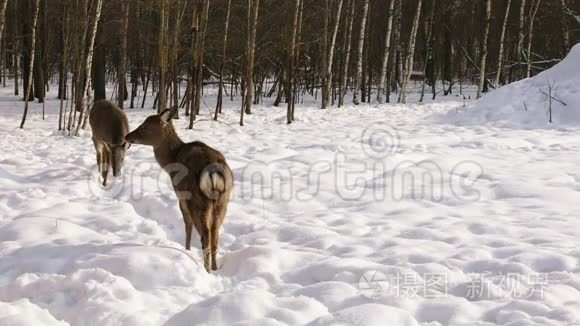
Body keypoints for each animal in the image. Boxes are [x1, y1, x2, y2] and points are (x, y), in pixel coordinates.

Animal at [126, 108, 233, 272]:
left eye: (145, 126)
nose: (127, 136)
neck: (171, 160)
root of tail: (214, 171)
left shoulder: (180, 196)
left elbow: (187, 224)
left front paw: (186, 250)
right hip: (222, 201)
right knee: (215, 235)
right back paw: (215, 268)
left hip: (197, 200)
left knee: (205, 236)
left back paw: (206, 269)